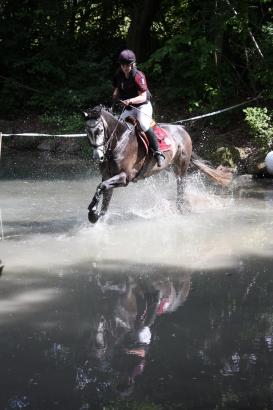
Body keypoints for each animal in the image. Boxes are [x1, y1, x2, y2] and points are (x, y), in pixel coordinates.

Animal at [83, 104, 232, 223]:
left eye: (99, 131)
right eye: (87, 132)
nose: (98, 157)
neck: (119, 141)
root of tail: (182, 129)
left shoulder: (124, 177)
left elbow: (101, 186)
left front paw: (92, 212)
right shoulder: (107, 176)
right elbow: (105, 197)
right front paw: (97, 216)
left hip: (182, 166)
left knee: (181, 186)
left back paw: (180, 209)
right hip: (171, 166)